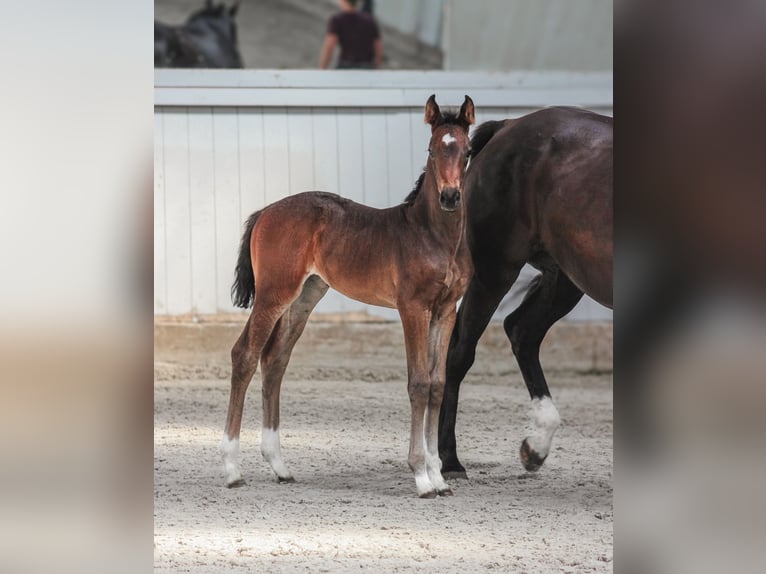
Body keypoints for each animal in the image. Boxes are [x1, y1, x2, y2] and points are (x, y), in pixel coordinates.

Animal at [219, 94, 476, 500]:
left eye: (467, 151)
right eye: (433, 150)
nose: (450, 197)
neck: (434, 237)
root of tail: (264, 212)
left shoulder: (446, 310)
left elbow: (437, 384)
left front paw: (439, 476)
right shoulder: (412, 308)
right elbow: (418, 382)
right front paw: (421, 477)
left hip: (304, 297)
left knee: (274, 361)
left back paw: (279, 466)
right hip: (274, 294)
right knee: (244, 354)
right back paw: (231, 470)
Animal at [440, 106, 616, 480]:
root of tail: (509, 126)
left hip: (564, 278)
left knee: (522, 331)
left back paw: (535, 447)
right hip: (495, 270)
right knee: (460, 352)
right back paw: (449, 461)